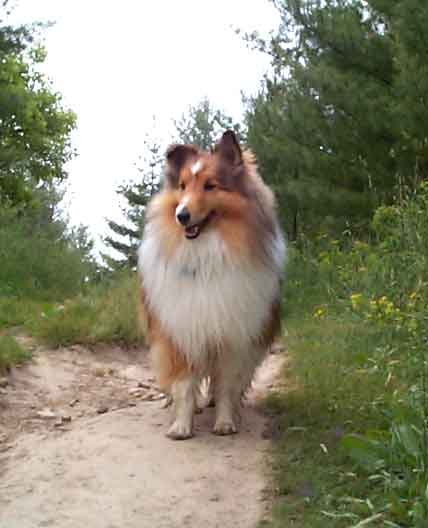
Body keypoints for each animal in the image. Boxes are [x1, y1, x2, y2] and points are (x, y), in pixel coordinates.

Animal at [139, 130, 286, 440]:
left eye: (210, 186)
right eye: (182, 186)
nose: (181, 215)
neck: (206, 254)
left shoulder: (234, 338)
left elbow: (227, 386)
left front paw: (225, 423)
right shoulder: (181, 331)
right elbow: (184, 386)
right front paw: (181, 427)